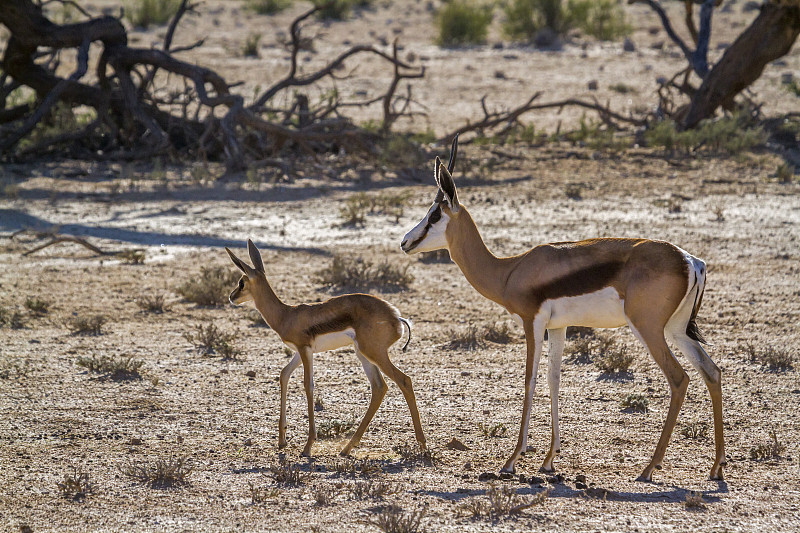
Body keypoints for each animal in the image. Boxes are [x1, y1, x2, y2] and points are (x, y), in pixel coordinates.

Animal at [225, 239, 424, 456]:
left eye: (242, 282)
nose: (232, 297)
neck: (286, 315)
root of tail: (396, 317)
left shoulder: (305, 350)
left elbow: (308, 385)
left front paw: (308, 446)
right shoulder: (300, 352)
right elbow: (284, 374)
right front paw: (282, 440)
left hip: (374, 353)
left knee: (404, 381)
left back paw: (422, 444)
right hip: (363, 354)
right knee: (379, 387)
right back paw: (347, 447)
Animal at [400, 135, 724, 480]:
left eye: (434, 215)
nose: (405, 242)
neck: (509, 271)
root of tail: (691, 261)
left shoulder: (531, 322)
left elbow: (529, 380)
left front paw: (512, 460)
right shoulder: (558, 327)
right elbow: (554, 379)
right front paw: (548, 460)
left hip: (648, 328)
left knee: (679, 378)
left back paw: (650, 467)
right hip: (676, 330)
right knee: (712, 372)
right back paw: (716, 467)